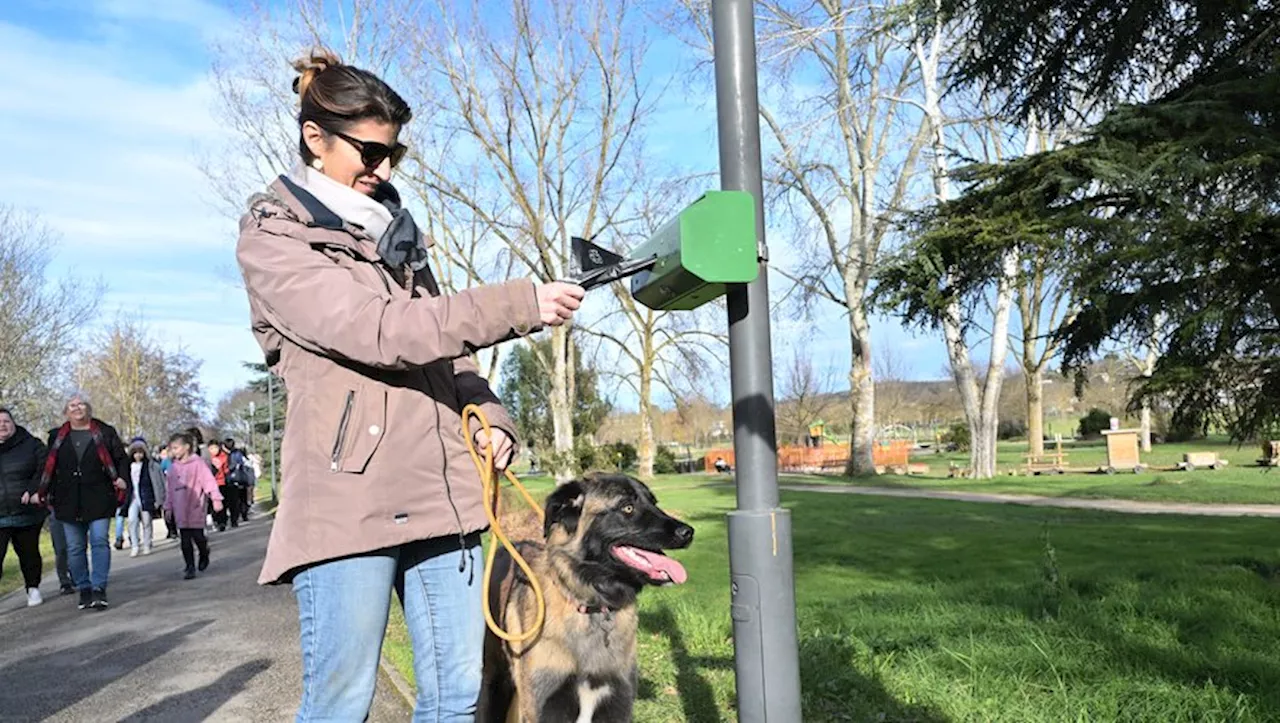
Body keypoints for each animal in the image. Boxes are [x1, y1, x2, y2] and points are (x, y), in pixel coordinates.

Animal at [478, 473, 696, 721]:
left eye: (653, 502)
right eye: (627, 507)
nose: (688, 532)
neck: (593, 607)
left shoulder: (618, 703)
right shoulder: (544, 705)